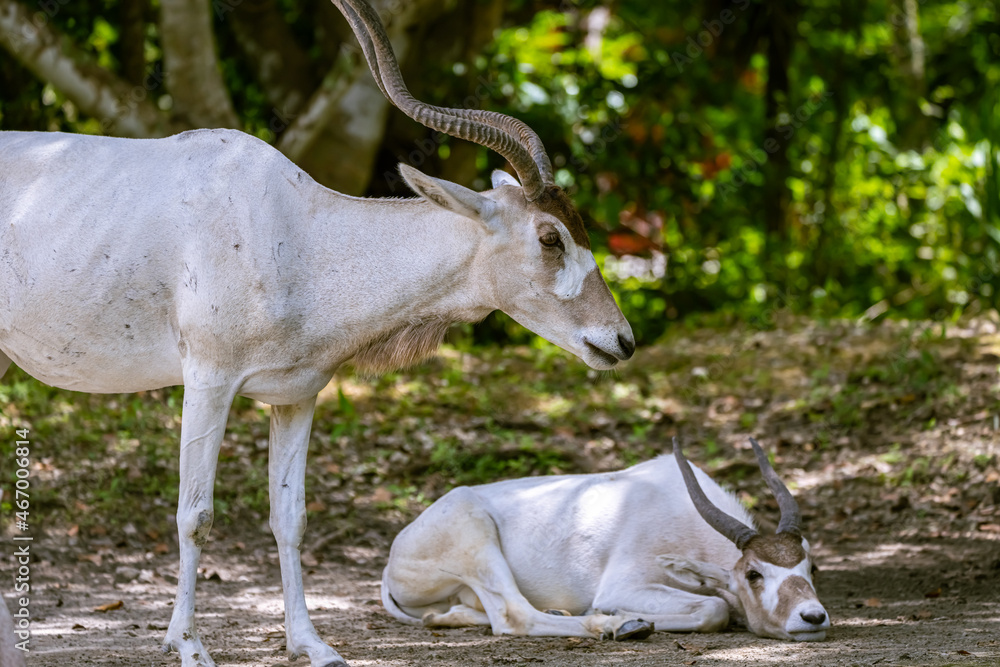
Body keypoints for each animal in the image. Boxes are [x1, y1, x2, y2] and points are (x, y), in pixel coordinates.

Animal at [0, 1, 633, 665]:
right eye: (549, 237)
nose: (621, 341)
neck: (301, 235)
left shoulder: (297, 395)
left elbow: (291, 518)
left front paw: (311, 644)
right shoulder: (208, 380)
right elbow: (195, 515)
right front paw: (190, 646)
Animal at [381, 438, 830, 642]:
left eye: (811, 567)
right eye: (753, 574)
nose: (813, 617)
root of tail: (390, 565)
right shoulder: (625, 583)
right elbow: (715, 608)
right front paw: (623, 619)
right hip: (474, 534)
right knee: (512, 617)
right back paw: (617, 624)